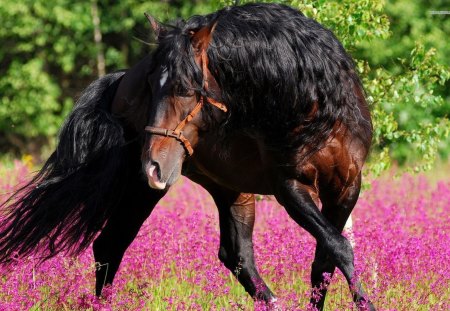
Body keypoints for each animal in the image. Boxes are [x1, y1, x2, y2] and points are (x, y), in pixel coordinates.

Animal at [143, 3, 372, 311]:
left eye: (183, 89)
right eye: (150, 86)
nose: (153, 166)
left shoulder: (345, 187)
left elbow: (325, 260)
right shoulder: (290, 188)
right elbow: (339, 247)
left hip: (230, 189)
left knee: (237, 254)